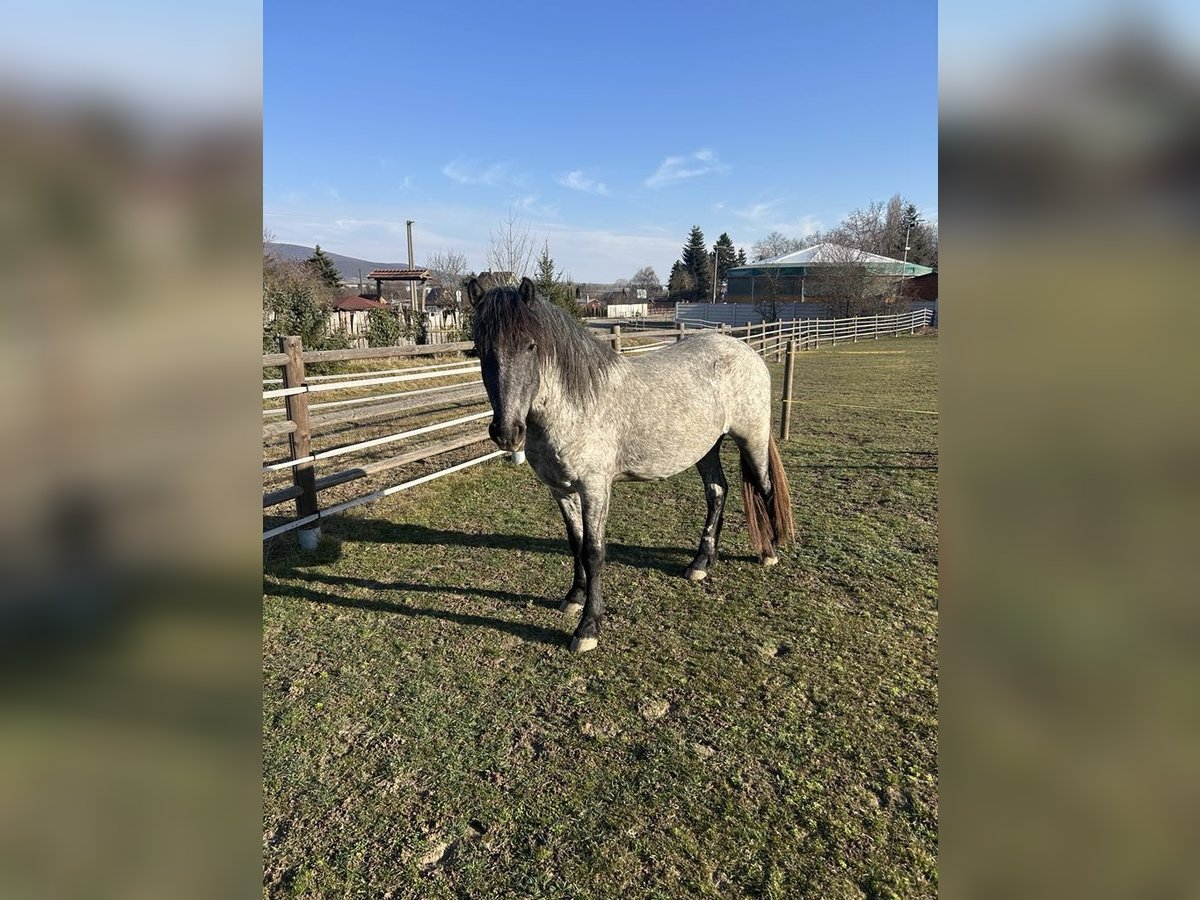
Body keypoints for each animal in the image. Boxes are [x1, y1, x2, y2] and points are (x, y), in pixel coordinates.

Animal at [468, 277, 796, 657]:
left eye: (530, 345)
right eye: (480, 349)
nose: (507, 433)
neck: (577, 403)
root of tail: (745, 351)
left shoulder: (594, 489)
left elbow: (593, 552)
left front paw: (588, 628)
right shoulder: (560, 490)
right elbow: (575, 543)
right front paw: (574, 598)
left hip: (752, 438)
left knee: (764, 488)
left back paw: (769, 552)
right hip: (706, 449)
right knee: (717, 492)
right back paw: (701, 563)